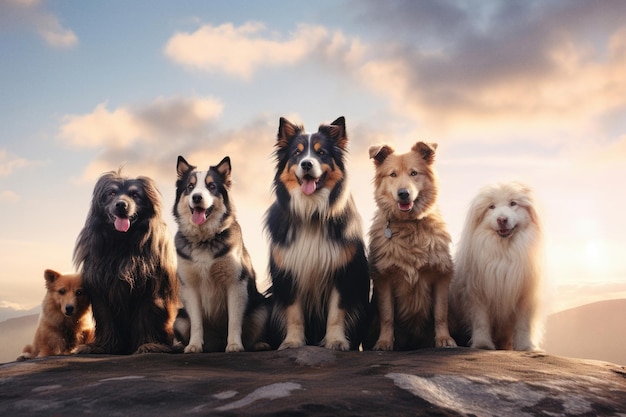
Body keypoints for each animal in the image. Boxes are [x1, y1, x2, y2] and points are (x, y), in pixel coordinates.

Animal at [75, 171, 180, 352]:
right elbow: (106, 319)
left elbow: (145, 317)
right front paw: (104, 346)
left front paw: (148, 344)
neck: (121, 242)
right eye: (111, 193)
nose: (121, 205)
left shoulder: (150, 287)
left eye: (135, 195)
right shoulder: (100, 288)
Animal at [173, 156, 268, 352]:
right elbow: (196, 323)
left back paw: (259, 344)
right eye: (190, 186)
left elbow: (234, 321)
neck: (204, 239)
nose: (197, 197)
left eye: (211, 186)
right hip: (179, 319)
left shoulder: (236, 283)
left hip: (262, 310)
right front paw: (194, 345)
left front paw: (234, 345)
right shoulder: (190, 287)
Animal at [264, 115, 370, 350]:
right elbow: (294, 314)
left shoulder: (342, 273)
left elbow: (336, 313)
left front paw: (336, 341)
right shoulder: (289, 273)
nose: (306, 163)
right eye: (297, 153)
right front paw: (292, 342)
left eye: (321, 153)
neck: (311, 212)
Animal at [448, 182, 540, 352]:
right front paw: (482, 344)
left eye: (513, 203)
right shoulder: (477, 292)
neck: (504, 250)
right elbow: (481, 321)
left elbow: (523, 325)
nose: (502, 219)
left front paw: (525, 346)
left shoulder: (525, 293)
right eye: (491, 206)